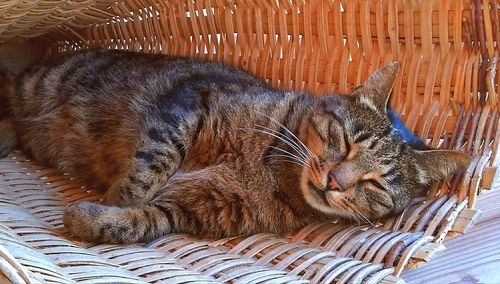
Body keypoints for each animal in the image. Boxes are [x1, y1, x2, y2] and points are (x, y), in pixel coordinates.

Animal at [0, 49, 468, 244]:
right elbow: (147, 173)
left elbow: (145, 219)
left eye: (374, 184)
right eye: (346, 142)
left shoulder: (196, 209)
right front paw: (116, 197)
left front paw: (96, 217)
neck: (273, 168)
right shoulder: (188, 106)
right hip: (38, 85)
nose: (335, 181)